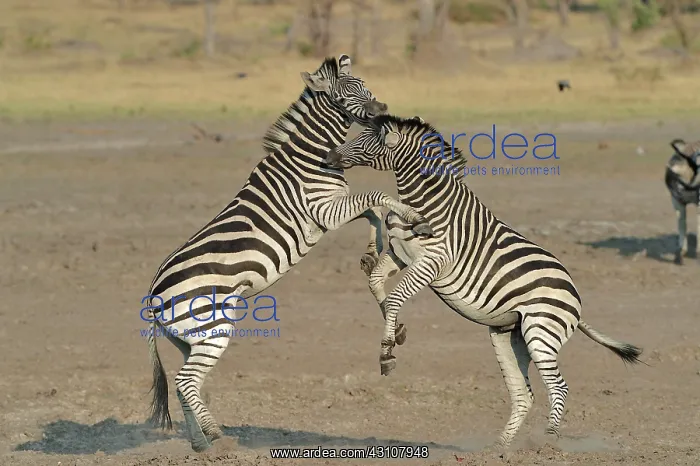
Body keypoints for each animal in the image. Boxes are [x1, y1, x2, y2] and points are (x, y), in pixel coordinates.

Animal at [142, 56, 434, 453]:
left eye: (365, 85)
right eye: (343, 95)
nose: (383, 110)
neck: (311, 156)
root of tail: (151, 294)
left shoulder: (334, 206)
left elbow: (372, 210)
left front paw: (372, 253)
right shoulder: (324, 210)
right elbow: (377, 197)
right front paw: (415, 218)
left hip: (190, 338)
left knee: (188, 384)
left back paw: (205, 440)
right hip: (212, 329)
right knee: (185, 381)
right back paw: (212, 441)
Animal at [324, 114, 643, 448]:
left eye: (366, 139)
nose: (328, 158)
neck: (421, 201)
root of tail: (574, 294)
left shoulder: (433, 262)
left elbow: (397, 296)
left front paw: (386, 350)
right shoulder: (400, 254)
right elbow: (375, 281)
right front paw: (396, 330)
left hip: (540, 331)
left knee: (559, 386)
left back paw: (547, 441)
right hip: (508, 335)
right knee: (524, 394)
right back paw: (499, 449)